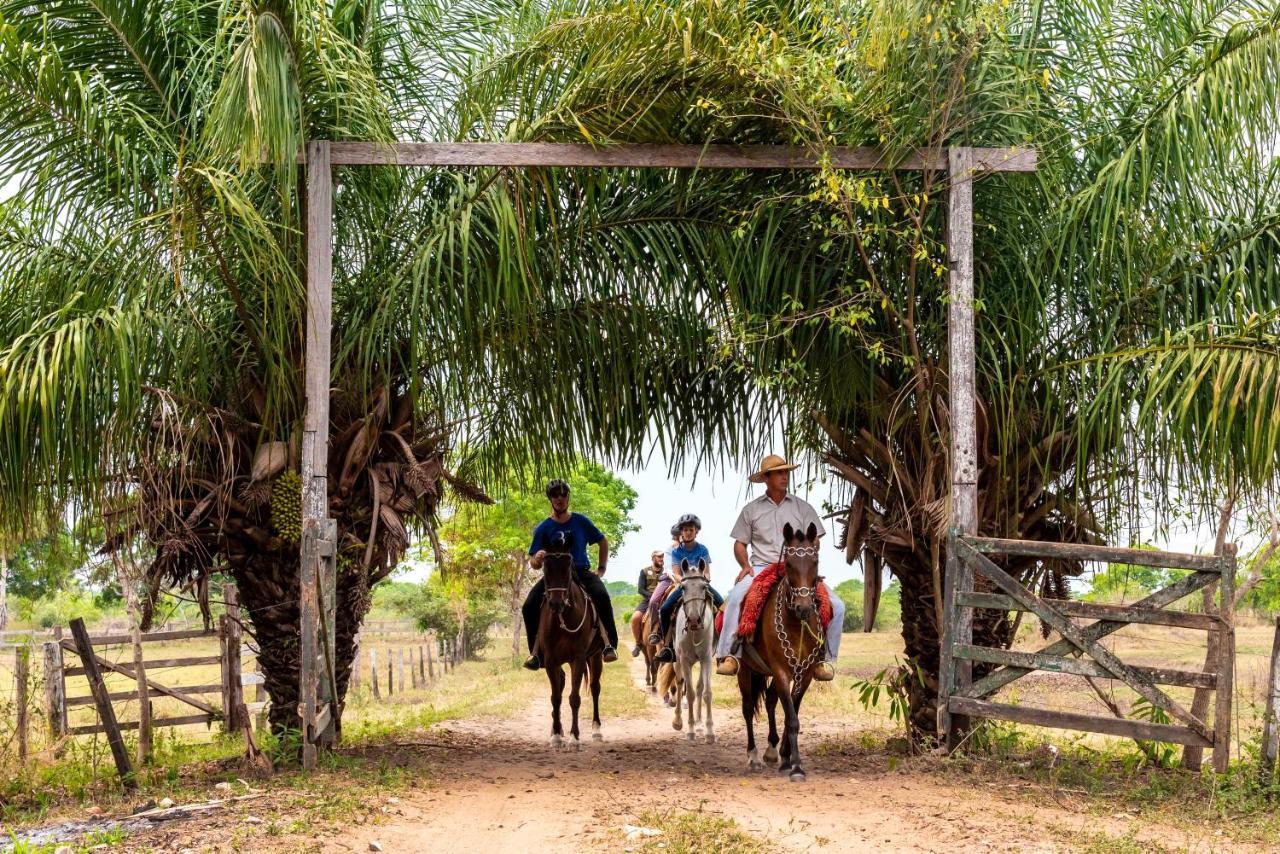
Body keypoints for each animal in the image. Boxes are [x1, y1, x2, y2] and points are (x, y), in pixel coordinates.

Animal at [535, 537, 604, 752]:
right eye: (546, 567)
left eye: (568, 567)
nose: (556, 603)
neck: (562, 617)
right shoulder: (550, 660)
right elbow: (556, 696)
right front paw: (557, 735)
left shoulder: (578, 658)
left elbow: (574, 697)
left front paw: (575, 737)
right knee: (561, 684)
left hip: (596, 656)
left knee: (595, 687)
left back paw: (596, 730)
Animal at [737, 522, 824, 783]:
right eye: (788, 563)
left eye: (815, 561)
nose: (804, 607)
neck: (797, 624)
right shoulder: (782, 670)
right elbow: (792, 719)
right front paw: (796, 767)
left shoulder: (805, 674)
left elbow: (791, 712)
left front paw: (786, 758)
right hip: (746, 670)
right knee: (747, 708)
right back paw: (754, 756)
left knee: (770, 701)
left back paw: (771, 750)